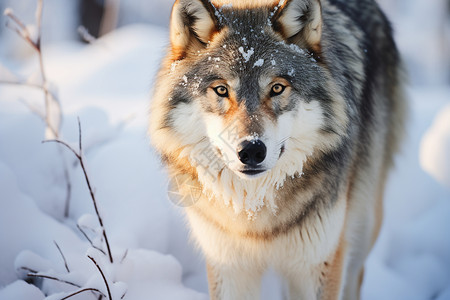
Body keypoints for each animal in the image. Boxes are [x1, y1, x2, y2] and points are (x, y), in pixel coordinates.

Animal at [149, 0, 406, 298]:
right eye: (221, 90)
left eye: (277, 88)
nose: (251, 151)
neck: (254, 214)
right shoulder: (229, 267)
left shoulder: (317, 263)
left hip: (362, 222)